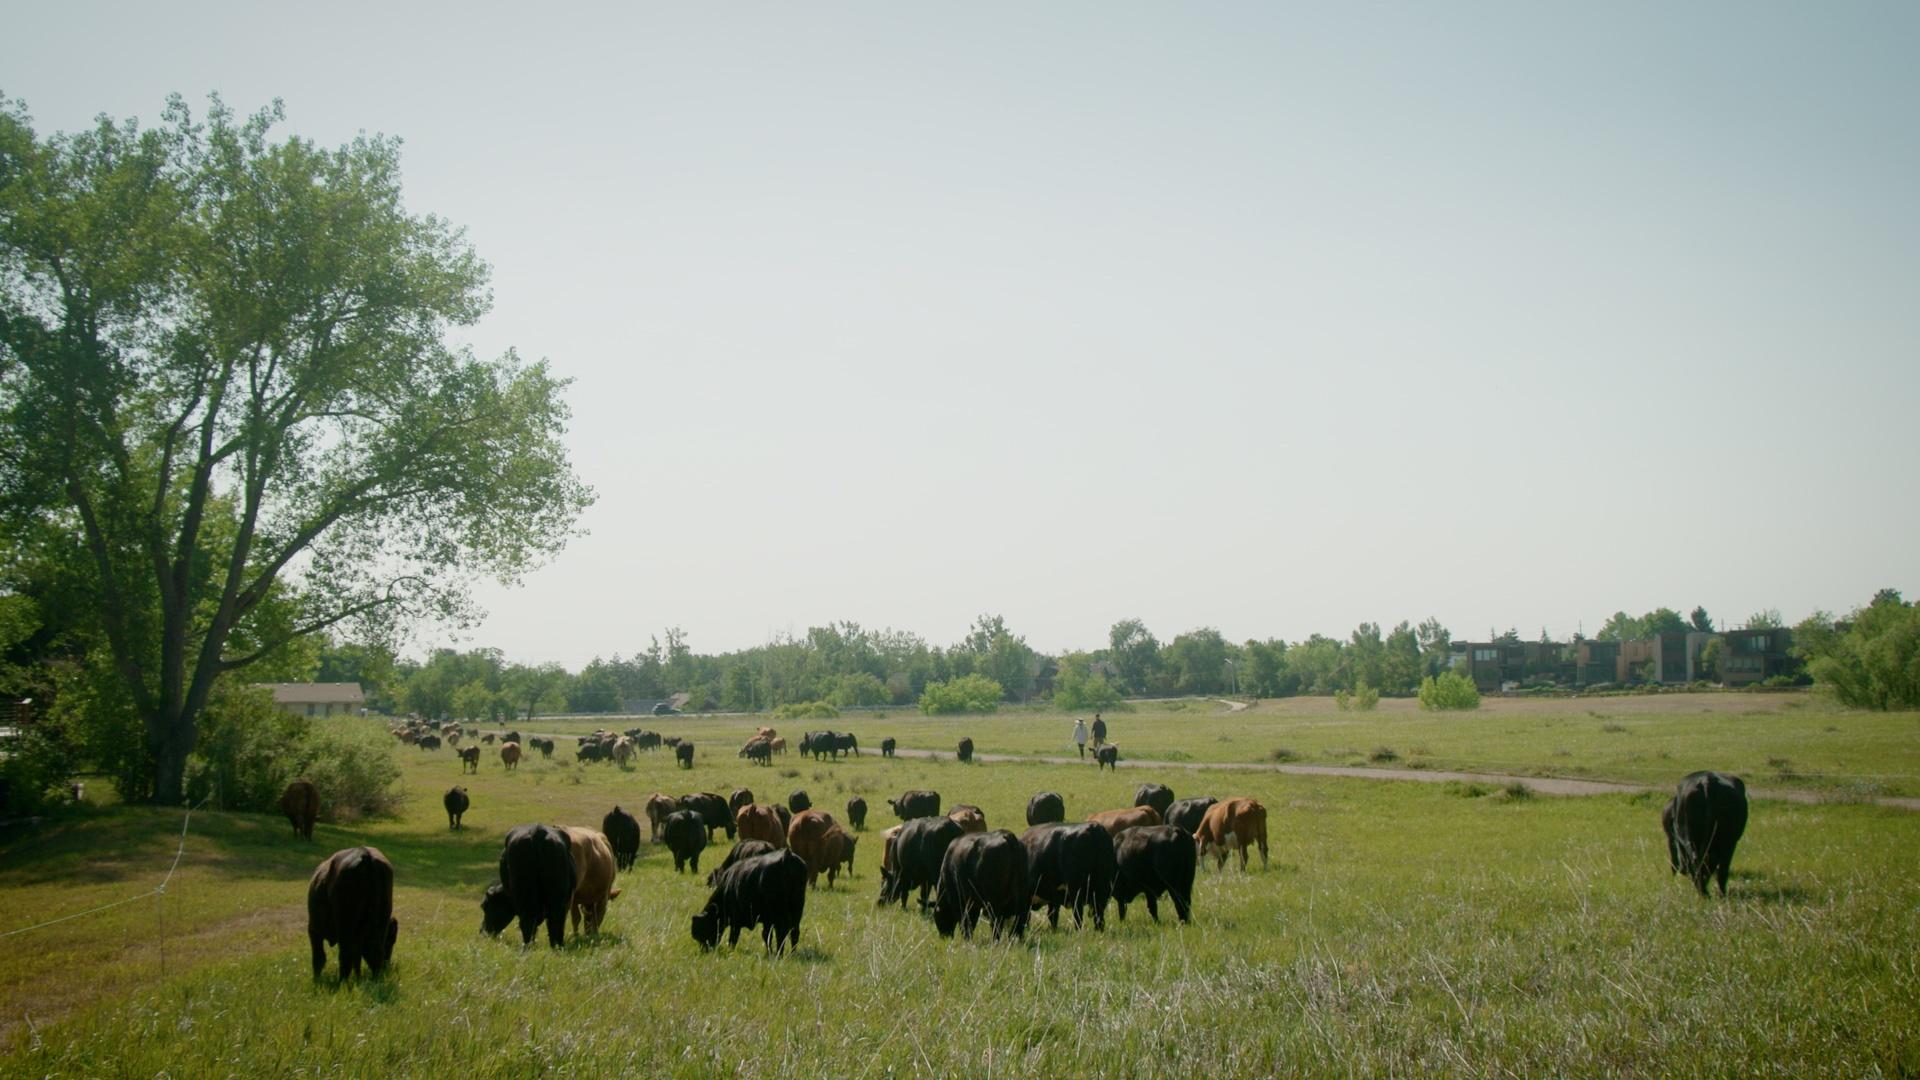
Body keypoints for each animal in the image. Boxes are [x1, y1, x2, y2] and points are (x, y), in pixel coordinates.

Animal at [307, 846, 397, 979]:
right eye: (390, 941)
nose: (387, 966)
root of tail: (365, 855)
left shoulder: (314, 930)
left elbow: (319, 957)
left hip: (343, 927)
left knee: (345, 957)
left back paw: (342, 982)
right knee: (373, 955)